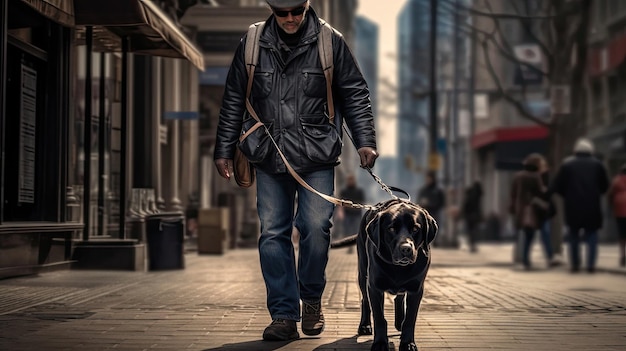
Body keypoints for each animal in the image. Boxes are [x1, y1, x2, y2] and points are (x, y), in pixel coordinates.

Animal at [332, 199, 434, 350]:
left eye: (416, 228)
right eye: (391, 229)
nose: (406, 249)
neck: (398, 268)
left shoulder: (416, 290)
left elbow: (410, 319)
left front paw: (408, 343)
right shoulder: (375, 288)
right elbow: (379, 318)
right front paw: (380, 343)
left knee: (399, 298)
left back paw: (399, 323)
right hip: (363, 274)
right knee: (365, 300)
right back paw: (365, 325)